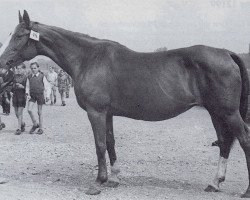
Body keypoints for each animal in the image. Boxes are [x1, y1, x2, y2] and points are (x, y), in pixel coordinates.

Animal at [0, 10, 250, 197]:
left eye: (20, 35)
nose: (2, 63)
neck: (88, 58)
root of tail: (227, 53)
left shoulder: (96, 112)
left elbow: (100, 144)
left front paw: (99, 181)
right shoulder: (108, 113)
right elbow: (110, 143)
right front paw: (115, 177)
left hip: (228, 112)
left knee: (244, 140)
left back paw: (245, 190)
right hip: (216, 112)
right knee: (225, 142)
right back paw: (214, 183)